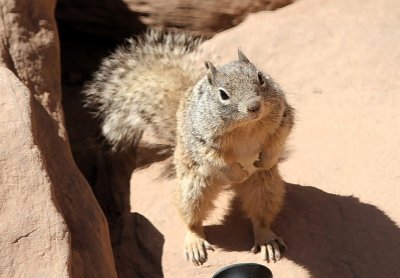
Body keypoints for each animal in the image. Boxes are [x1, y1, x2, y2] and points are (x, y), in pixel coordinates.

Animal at [83, 29, 296, 266]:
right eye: (223, 94)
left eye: (260, 77)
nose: (254, 106)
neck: (245, 125)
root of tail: (227, 186)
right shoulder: (201, 140)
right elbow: (213, 157)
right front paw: (236, 172)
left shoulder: (283, 115)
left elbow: (279, 137)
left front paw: (267, 158)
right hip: (193, 188)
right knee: (191, 218)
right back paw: (195, 241)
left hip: (266, 185)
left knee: (260, 215)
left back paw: (266, 238)